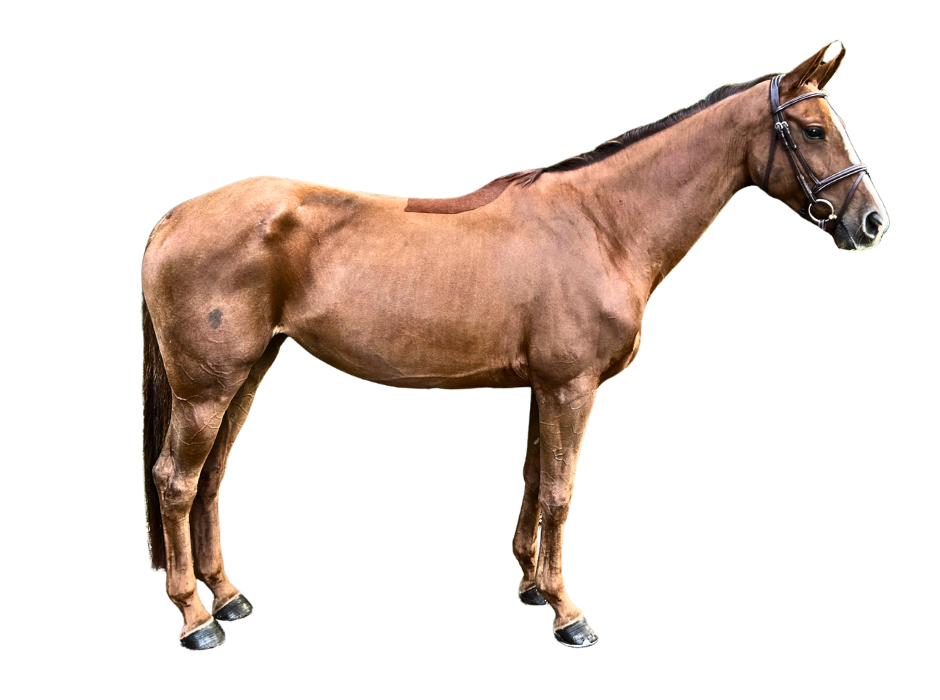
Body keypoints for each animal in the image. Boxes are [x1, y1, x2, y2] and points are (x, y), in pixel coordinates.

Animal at [140, 40, 889, 650]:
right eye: (815, 131)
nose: (872, 222)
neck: (602, 223)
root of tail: (174, 218)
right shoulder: (570, 389)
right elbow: (559, 493)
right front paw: (568, 614)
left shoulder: (543, 389)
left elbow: (534, 484)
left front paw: (532, 587)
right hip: (207, 389)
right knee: (176, 482)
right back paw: (197, 620)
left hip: (245, 374)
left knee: (209, 480)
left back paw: (227, 598)